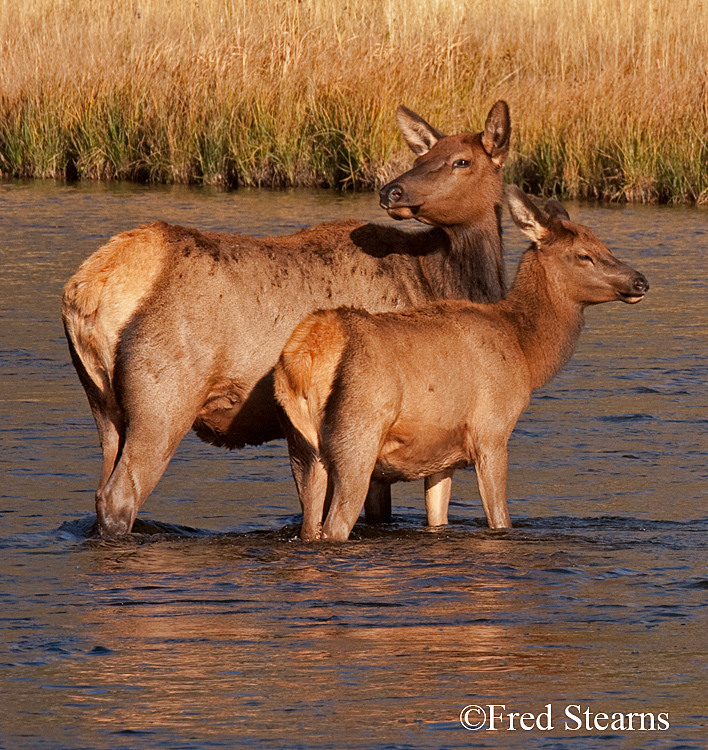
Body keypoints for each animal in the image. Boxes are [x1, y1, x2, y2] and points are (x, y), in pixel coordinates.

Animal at [63, 100, 512, 536]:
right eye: (424, 155)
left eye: (461, 161)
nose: (391, 191)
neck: (437, 278)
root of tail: (89, 287)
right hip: (162, 399)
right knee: (121, 497)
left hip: (103, 405)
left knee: (100, 491)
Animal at [274, 187, 648, 540]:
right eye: (584, 254)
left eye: (606, 246)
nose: (640, 280)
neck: (525, 352)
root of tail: (305, 359)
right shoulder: (491, 432)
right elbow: (500, 519)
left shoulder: (440, 456)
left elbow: (438, 519)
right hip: (357, 436)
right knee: (335, 527)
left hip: (303, 451)